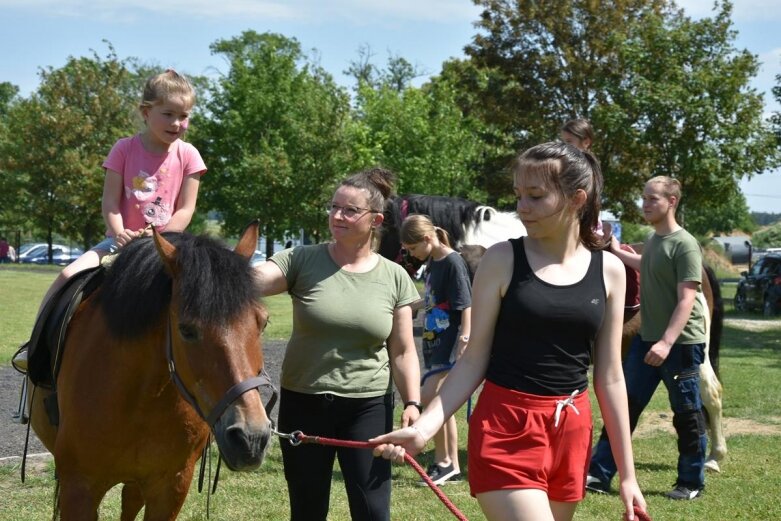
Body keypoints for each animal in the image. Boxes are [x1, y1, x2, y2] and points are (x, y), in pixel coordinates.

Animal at [26, 223, 274, 520]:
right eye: (186, 329)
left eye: (263, 322)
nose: (251, 438)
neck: (140, 397)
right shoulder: (79, 488)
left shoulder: (171, 486)